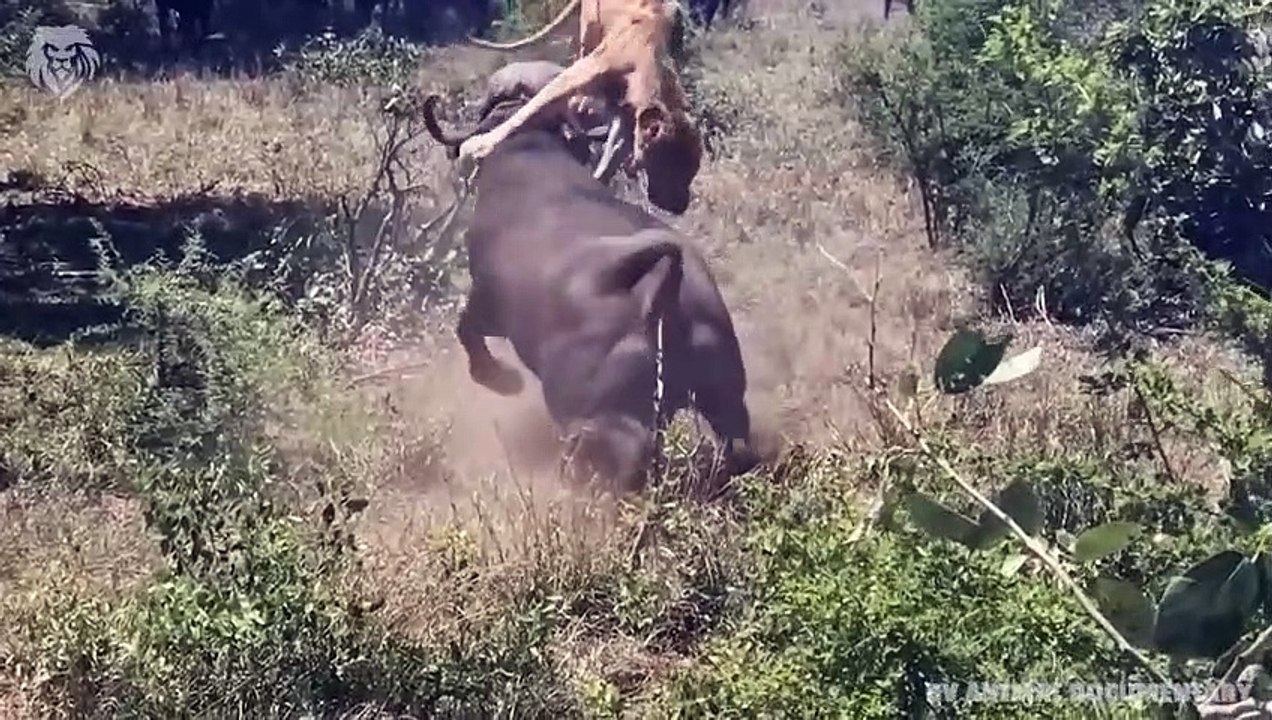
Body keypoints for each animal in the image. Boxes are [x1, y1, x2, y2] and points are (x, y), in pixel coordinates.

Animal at [422, 62, 759, 492]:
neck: (530, 151)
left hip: (598, 416)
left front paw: (502, 379)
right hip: (726, 398)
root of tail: (664, 285)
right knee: (737, 447)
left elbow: (466, 330)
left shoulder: (487, 306)